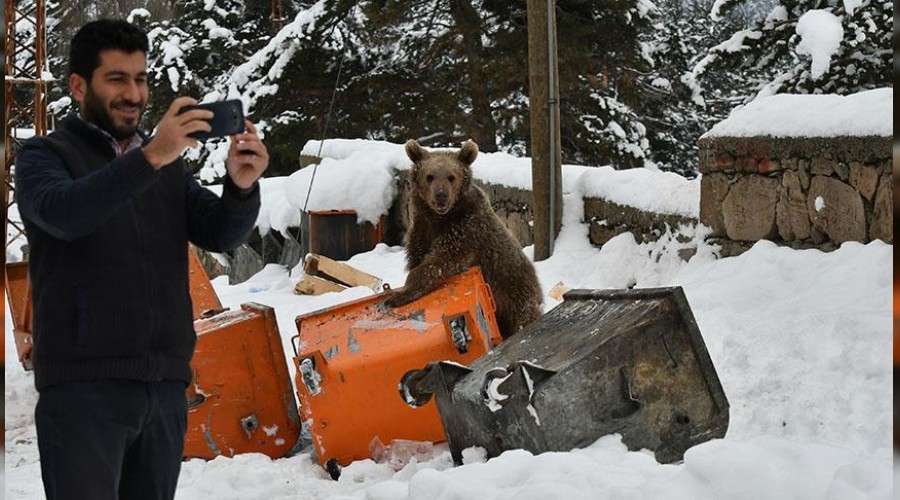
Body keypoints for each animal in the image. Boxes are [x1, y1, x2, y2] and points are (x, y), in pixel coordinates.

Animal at [384, 139, 540, 338]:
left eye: (451, 177)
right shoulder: (421, 230)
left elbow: (440, 261)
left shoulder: (466, 228)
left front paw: (397, 296)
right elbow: (419, 258)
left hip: (515, 293)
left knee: (522, 318)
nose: (441, 195)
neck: (440, 218)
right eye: (430, 176)